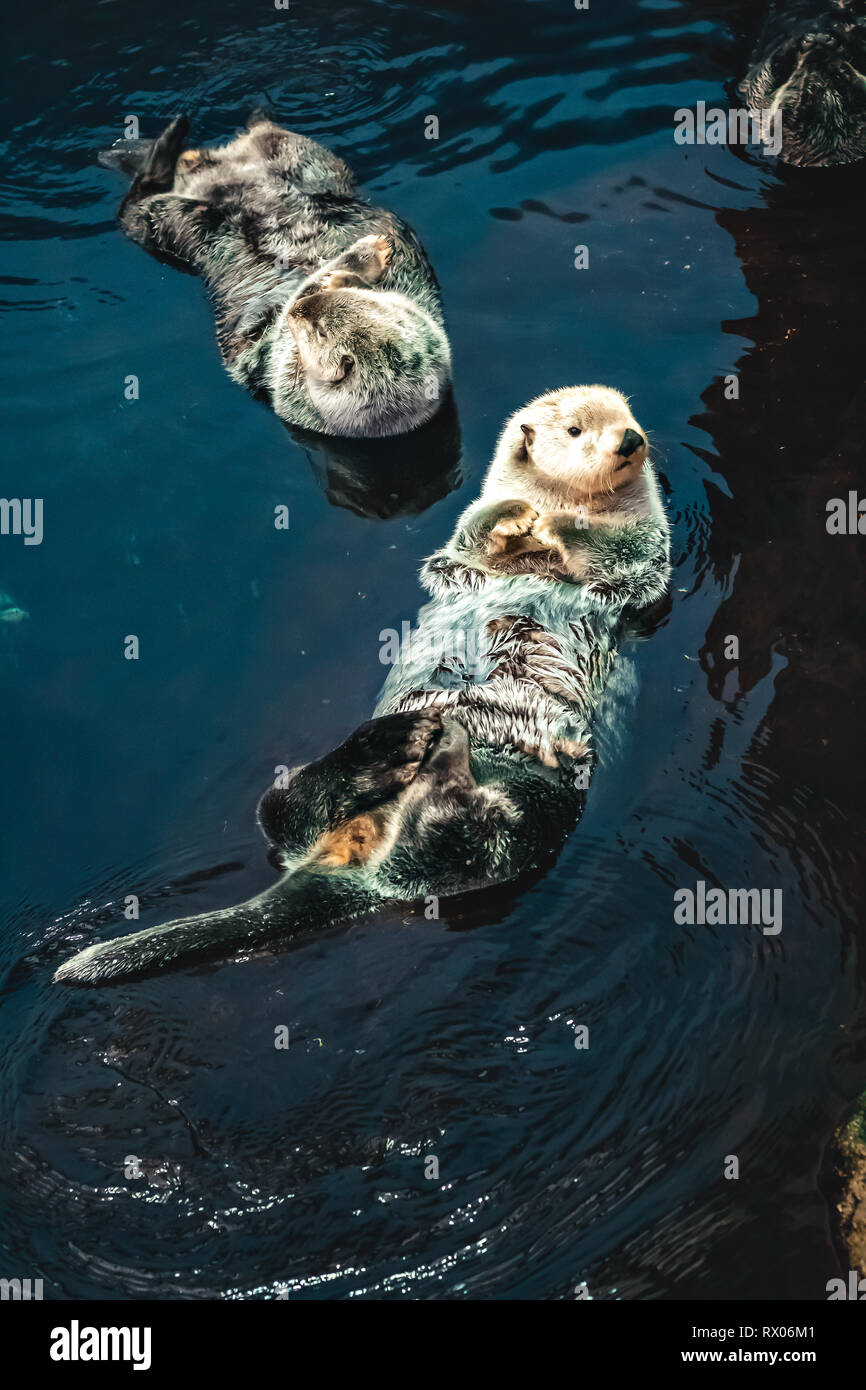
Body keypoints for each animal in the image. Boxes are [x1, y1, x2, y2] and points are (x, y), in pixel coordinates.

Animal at [54, 387, 670, 984]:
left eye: (627, 413)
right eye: (575, 430)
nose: (630, 439)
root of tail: (362, 863)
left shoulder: (646, 558)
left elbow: (629, 557)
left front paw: (562, 526)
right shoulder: (460, 554)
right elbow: (467, 540)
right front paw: (517, 513)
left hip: (539, 804)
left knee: (469, 839)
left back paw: (440, 762)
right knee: (282, 808)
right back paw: (395, 745)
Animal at [103, 114, 451, 437]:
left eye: (321, 332)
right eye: (368, 305)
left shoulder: (280, 357)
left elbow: (301, 295)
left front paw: (366, 255)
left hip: (156, 224)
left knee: (137, 203)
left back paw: (169, 141)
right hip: (305, 159)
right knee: (270, 141)